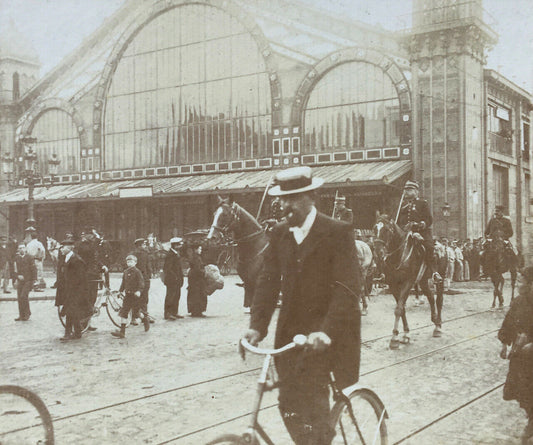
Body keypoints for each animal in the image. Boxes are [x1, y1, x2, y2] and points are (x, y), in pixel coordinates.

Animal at [372, 213, 442, 348]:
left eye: (387, 230)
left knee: (439, 300)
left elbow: (399, 309)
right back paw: (435, 321)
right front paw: (405, 334)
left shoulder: (408, 283)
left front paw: (394, 338)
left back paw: (438, 327)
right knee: (431, 297)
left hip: (440, 279)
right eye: (374, 229)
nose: (378, 254)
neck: (398, 255)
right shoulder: (393, 285)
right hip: (423, 280)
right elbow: (401, 308)